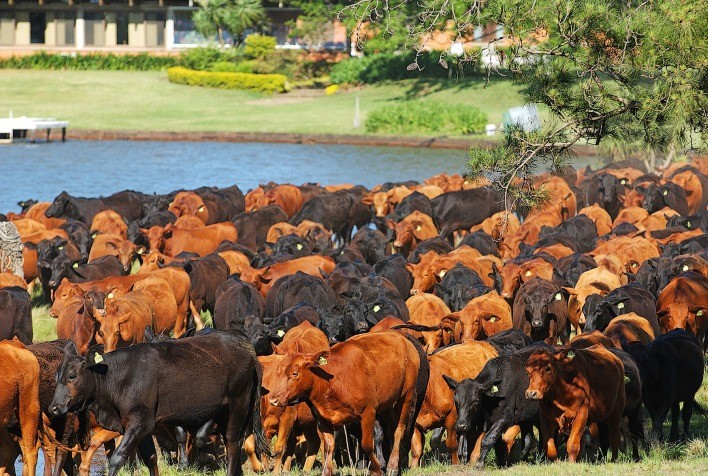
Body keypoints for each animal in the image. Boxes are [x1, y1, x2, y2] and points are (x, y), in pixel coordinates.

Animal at [48, 332, 266, 476]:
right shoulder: (141, 427)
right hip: (223, 412)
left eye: (72, 376)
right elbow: (151, 458)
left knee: (232, 444)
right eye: (57, 376)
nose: (54, 408)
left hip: (238, 404)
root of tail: (246, 347)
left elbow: (118, 457)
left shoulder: (140, 422)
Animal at [266, 330, 426, 476]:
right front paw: (327, 472)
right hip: (387, 405)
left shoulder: (368, 412)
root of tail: (402, 338)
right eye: (277, 372)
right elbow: (329, 447)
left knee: (399, 430)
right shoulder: (323, 419)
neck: (334, 379)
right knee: (392, 430)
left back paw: (392, 466)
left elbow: (367, 445)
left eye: (295, 373)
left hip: (407, 396)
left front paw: (376, 469)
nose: (273, 399)